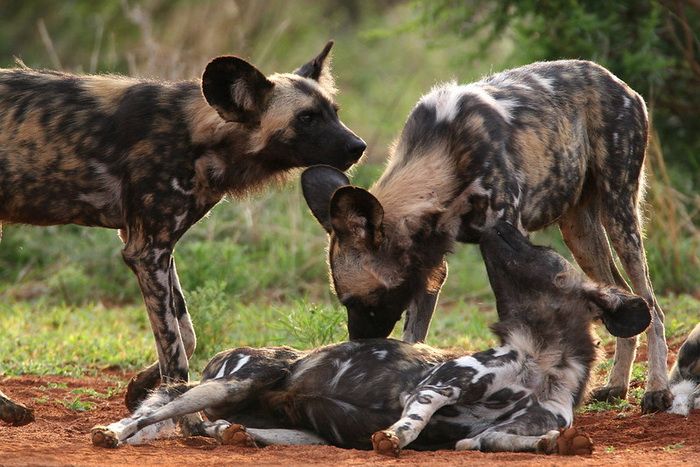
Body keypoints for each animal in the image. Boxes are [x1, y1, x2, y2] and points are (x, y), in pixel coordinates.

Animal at [0, 42, 370, 426]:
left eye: (334, 113)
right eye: (306, 118)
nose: (358, 146)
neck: (198, 137)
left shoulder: (155, 247)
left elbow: (187, 335)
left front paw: (140, 389)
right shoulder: (147, 251)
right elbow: (175, 351)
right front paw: (182, 419)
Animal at [89, 221, 652, 456]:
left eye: (538, 248)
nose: (499, 222)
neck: (541, 362)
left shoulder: (492, 431)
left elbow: (496, 438)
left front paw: (558, 445)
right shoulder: (439, 383)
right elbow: (414, 417)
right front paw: (396, 438)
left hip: (296, 430)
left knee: (212, 427)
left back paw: (233, 434)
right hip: (232, 381)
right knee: (156, 411)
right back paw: (114, 433)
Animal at [302, 59, 672, 414]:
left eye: (360, 302)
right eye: (344, 302)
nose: (359, 345)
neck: (445, 156)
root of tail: (616, 81)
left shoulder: (505, 238)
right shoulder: (430, 267)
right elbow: (414, 339)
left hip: (619, 212)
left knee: (652, 305)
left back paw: (657, 390)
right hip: (579, 231)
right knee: (623, 296)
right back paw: (616, 386)